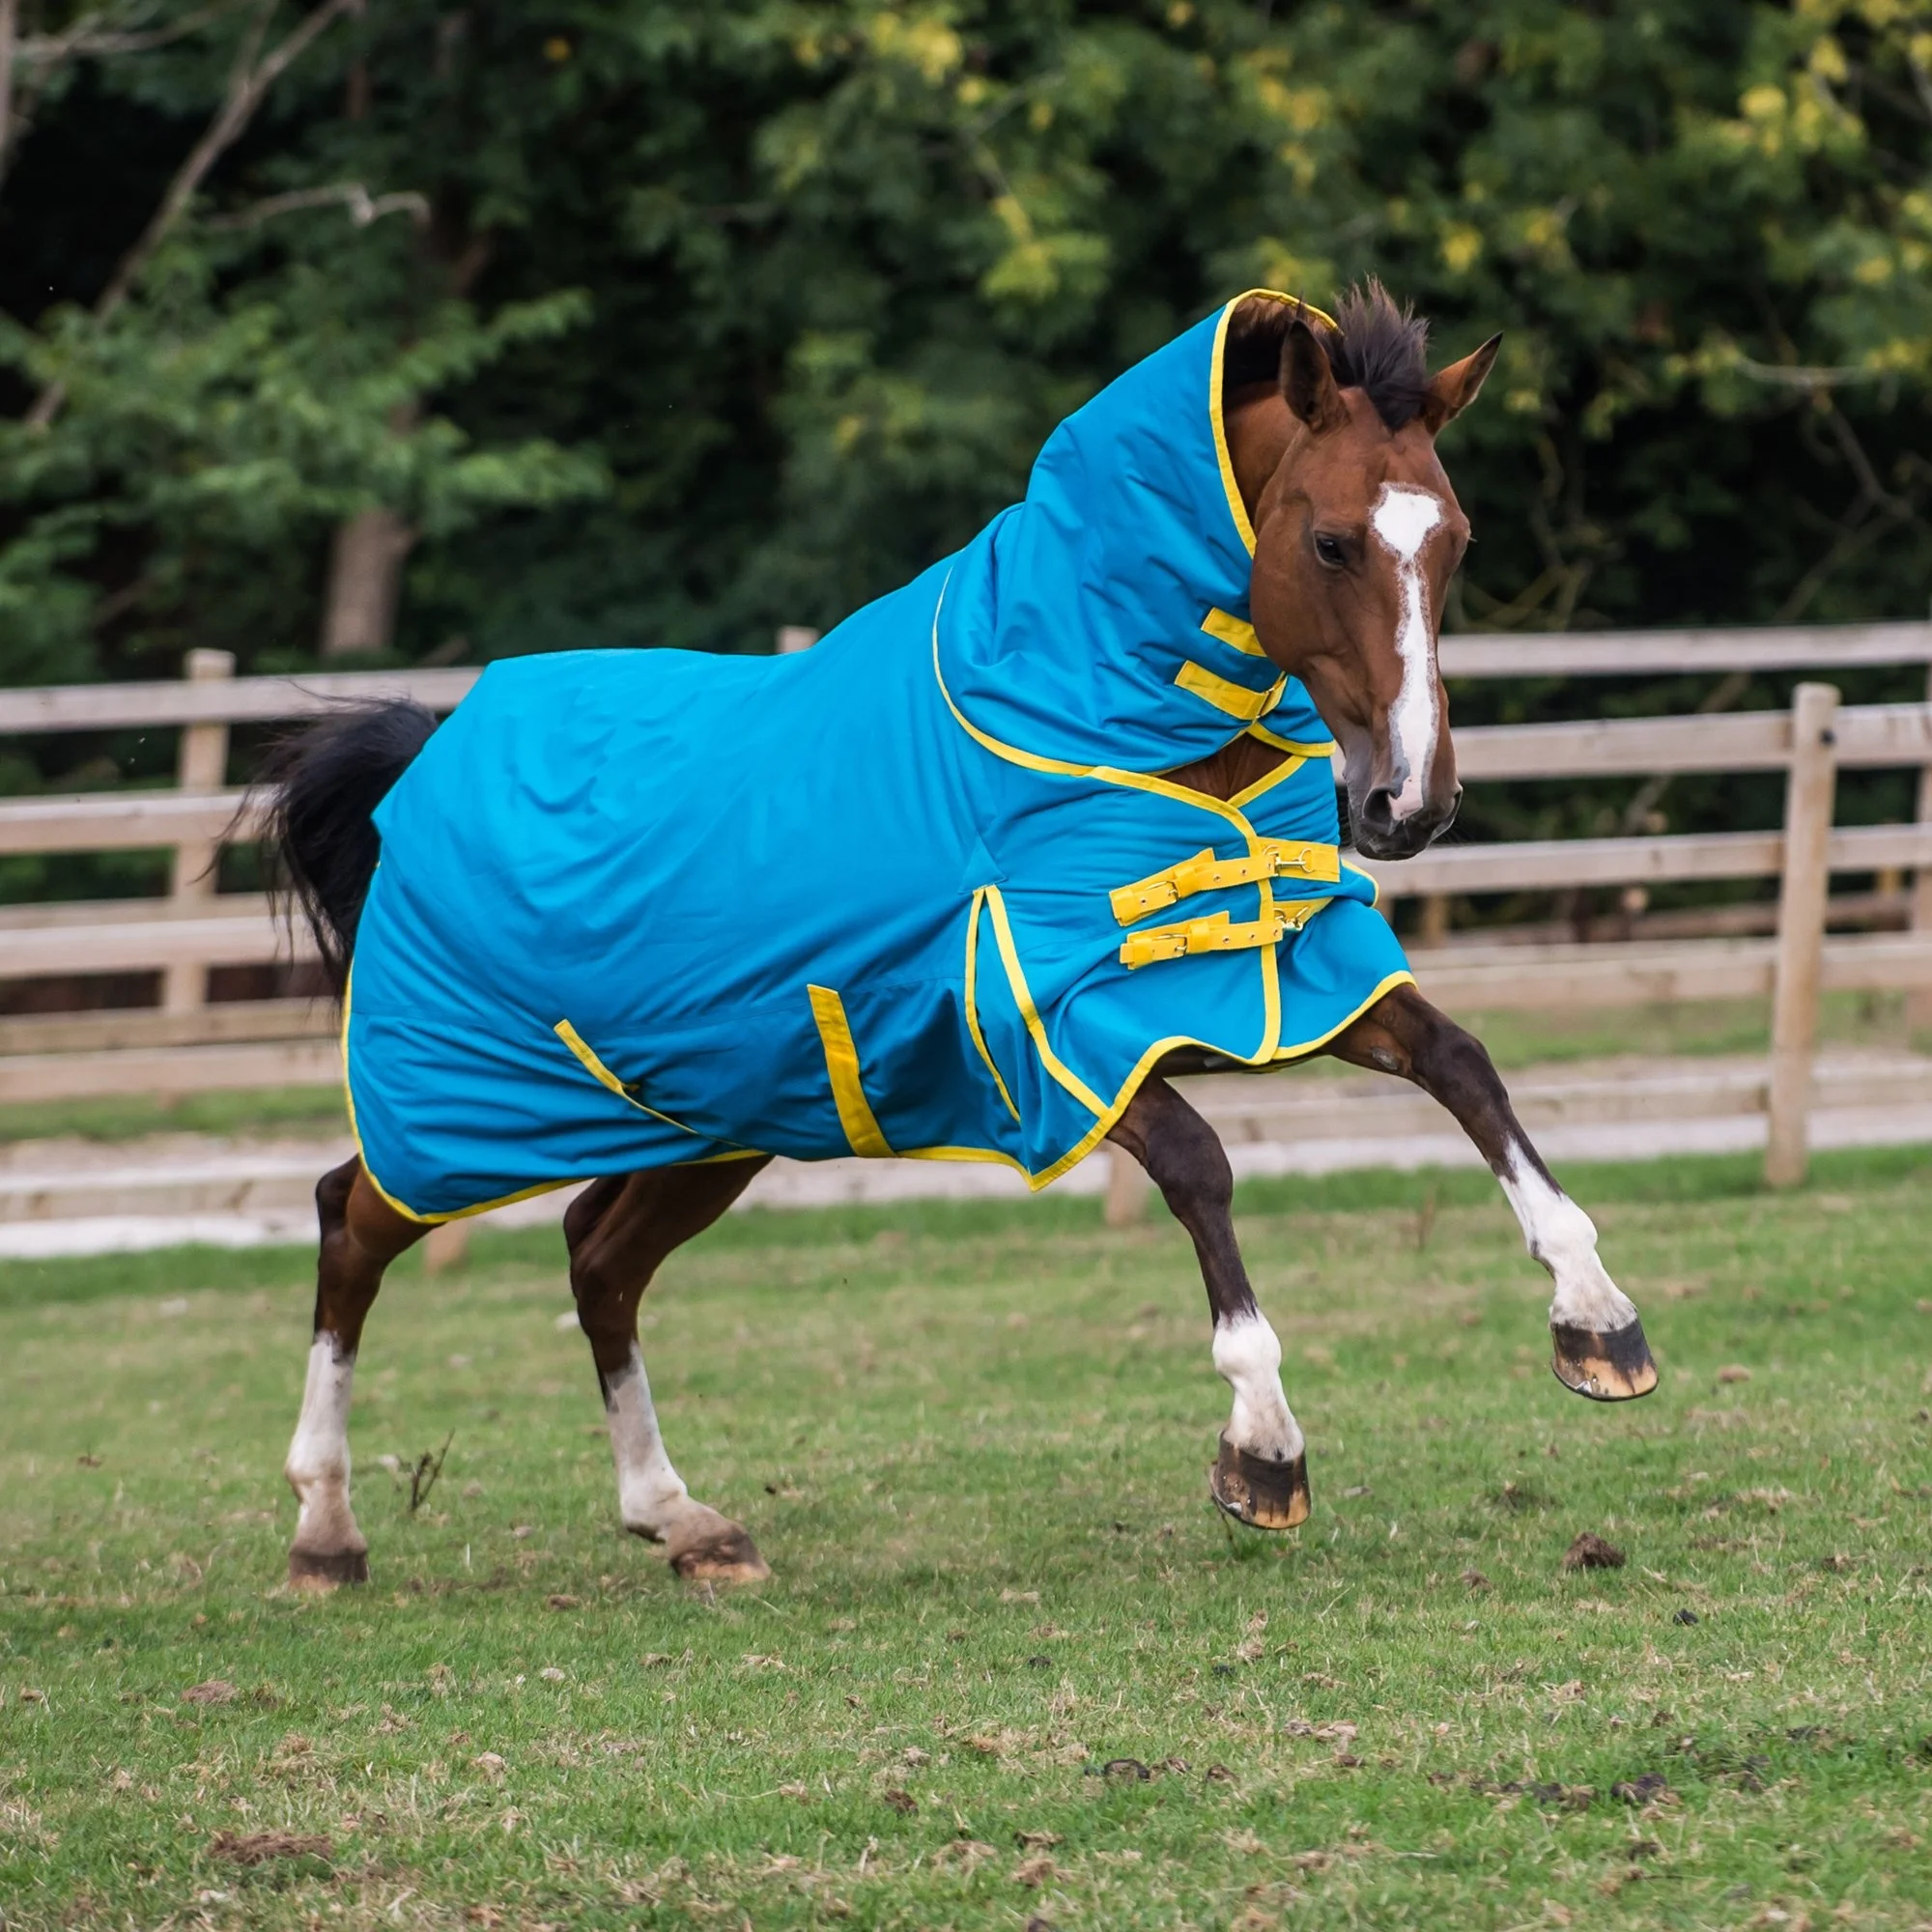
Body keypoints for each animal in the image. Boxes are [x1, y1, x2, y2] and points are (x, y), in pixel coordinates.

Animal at [259, 284, 1657, 1593]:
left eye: (1457, 544)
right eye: (1326, 540)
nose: (1406, 805)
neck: (1082, 714)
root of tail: (424, 753)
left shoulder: (1271, 969)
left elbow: (1462, 1063)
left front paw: (1597, 1320)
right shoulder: (1052, 1030)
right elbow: (1200, 1165)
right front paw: (1263, 1445)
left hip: (716, 1117)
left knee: (597, 1261)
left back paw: (680, 1521)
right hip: (463, 1112)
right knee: (351, 1221)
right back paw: (326, 1531)